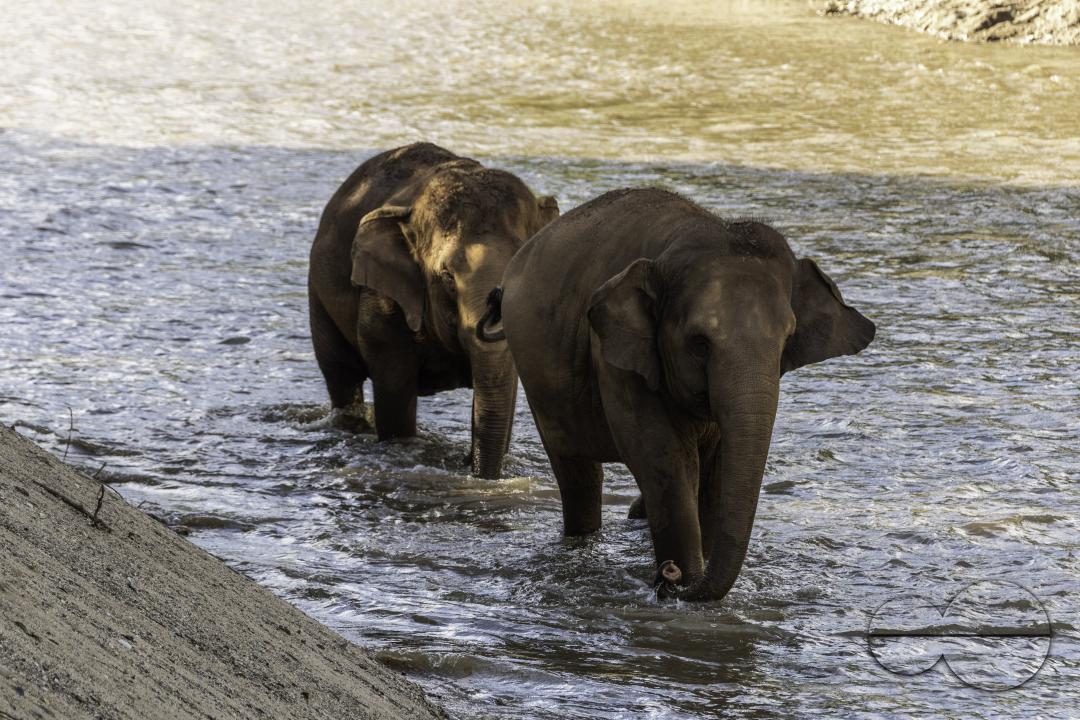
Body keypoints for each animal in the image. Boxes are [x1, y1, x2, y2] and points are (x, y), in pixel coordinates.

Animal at [481, 188, 875, 600]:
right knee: (576, 474)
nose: (669, 575)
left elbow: (717, 469)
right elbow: (663, 457)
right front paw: (684, 582)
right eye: (699, 343)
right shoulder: (615, 356)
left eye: (786, 341)